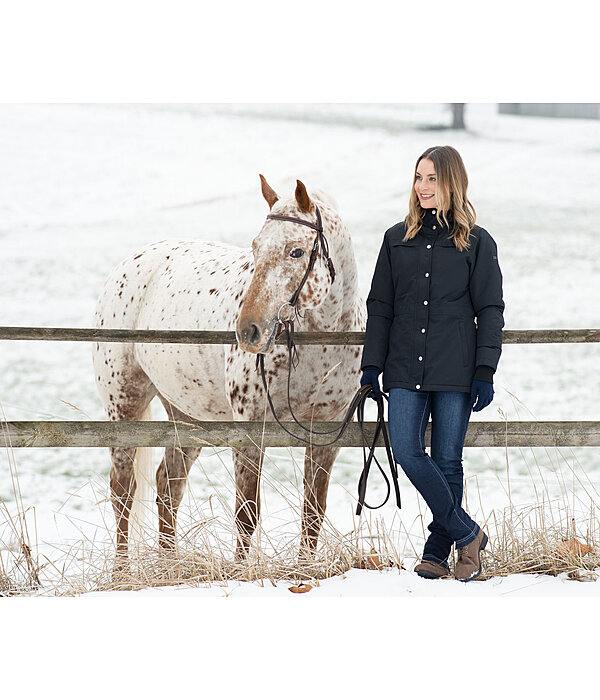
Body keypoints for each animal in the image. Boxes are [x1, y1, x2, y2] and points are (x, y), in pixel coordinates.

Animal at [92, 176, 366, 568]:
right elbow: (246, 513)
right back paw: (121, 571)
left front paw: (304, 568)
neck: (321, 342)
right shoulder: (250, 430)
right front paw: (241, 571)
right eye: (255, 247)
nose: (248, 330)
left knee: (167, 485)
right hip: (124, 409)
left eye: (296, 252)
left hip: (188, 417)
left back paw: (170, 563)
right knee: (122, 492)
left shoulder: (327, 433)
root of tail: (131, 262)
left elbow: (313, 512)